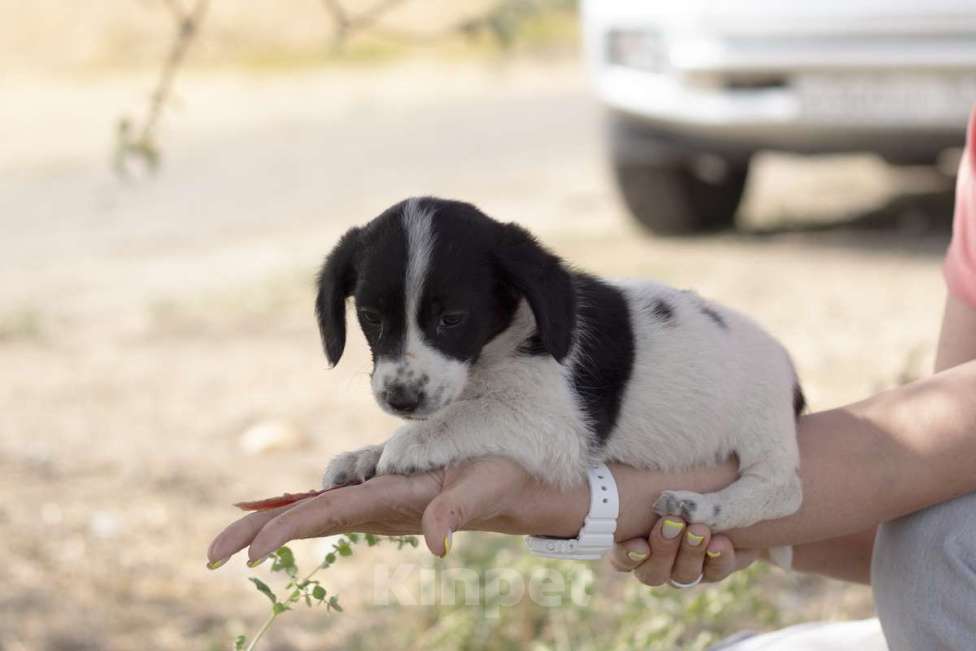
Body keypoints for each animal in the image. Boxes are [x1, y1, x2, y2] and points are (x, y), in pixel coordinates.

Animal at [316, 197, 804, 540]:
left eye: (451, 318)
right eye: (372, 317)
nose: (399, 399)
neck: (494, 352)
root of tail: (788, 367)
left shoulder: (555, 427)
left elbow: (466, 417)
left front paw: (407, 443)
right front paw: (366, 454)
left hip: (764, 427)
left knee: (783, 490)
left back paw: (701, 507)